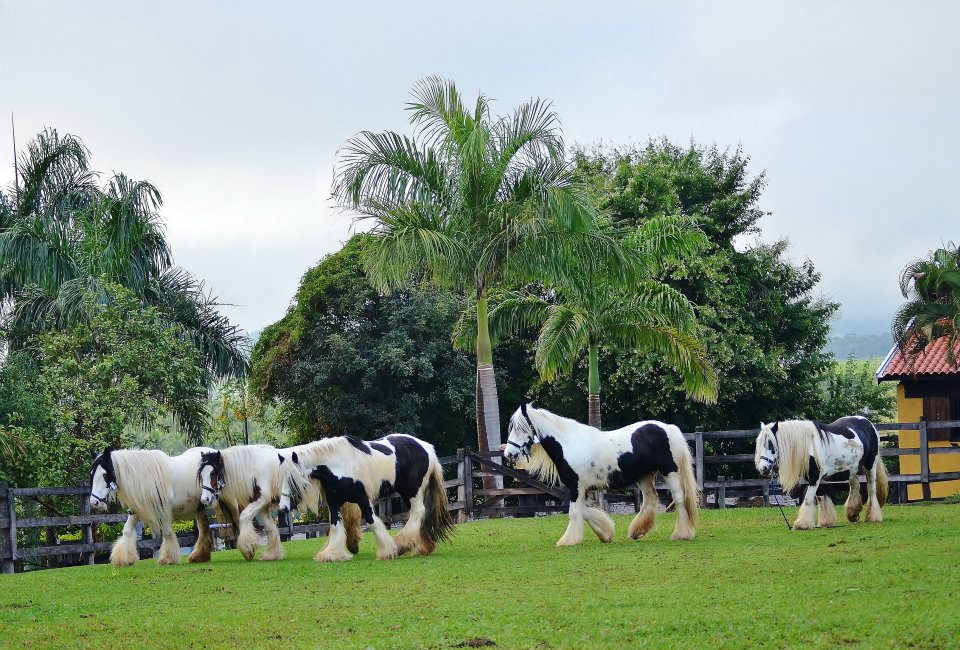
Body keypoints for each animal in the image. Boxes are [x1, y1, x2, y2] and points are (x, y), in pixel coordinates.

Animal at [197, 442, 362, 560]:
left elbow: (244, 517)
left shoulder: (261, 500)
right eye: (201, 474)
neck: (254, 468)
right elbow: (270, 527)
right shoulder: (263, 505)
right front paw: (272, 554)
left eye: (213, 473)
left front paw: (248, 550)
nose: (204, 499)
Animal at [278, 432, 454, 560]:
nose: (283, 507)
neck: (339, 465)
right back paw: (422, 547)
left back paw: (401, 545)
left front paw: (387, 551)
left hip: (413, 491)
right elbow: (335, 526)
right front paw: (332, 554)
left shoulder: (363, 499)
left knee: (418, 512)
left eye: (292, 480)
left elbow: (371, 522)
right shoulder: (334, 502)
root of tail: (426, 447)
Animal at [502, 402, 696, 544]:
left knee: (679, 498)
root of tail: (669, 428)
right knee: (650, 499)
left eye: (521, 428)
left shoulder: (577, 486)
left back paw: (682, 534)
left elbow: (575, 512)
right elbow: (584, 511)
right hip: (644, 475)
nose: (509, 454)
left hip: (669, 471)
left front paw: (567, 541)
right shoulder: (581, 488)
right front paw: (606, 534)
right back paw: (637, 531)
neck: (569, 444)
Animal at [752, 416, 888, 528]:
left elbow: (808, 499)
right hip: (850, 470)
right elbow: (820, 496)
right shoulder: (815, 478)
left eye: (770, 444)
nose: (763, 468)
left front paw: (802, 524)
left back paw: (873, 517)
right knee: (855, 486)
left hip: (870, 464)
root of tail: (867, 422)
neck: (809, 446)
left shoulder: (815, 477)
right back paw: (853, 514)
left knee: (871, 489)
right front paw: (826, 522)